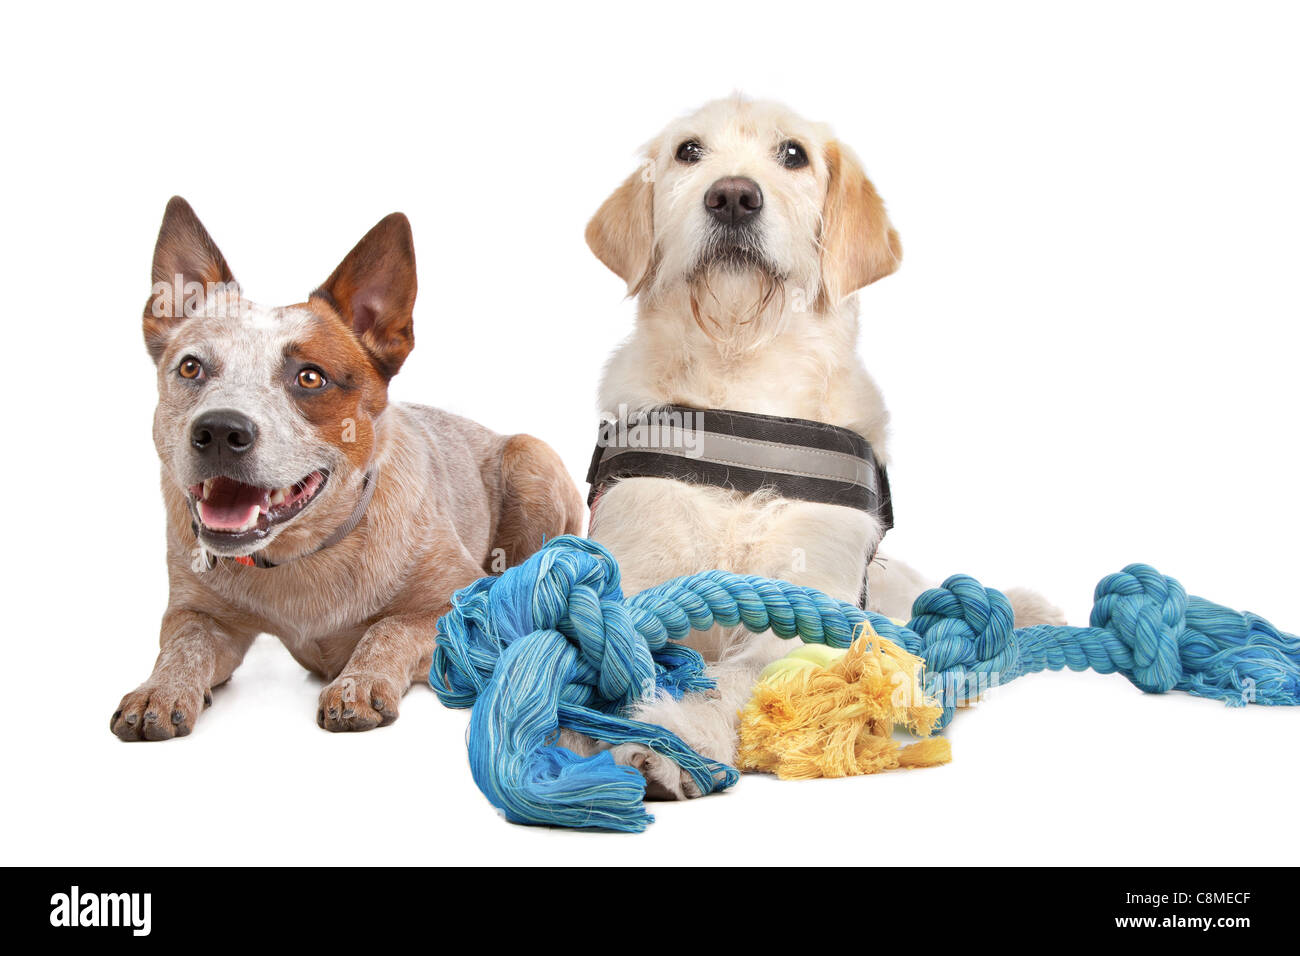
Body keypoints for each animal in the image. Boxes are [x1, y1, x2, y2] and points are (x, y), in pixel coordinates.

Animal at [116, 200, 585, 738]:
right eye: (191, 367)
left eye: (310, 377)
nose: (218, 430)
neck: (301, 558)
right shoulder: (194, 610)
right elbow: (183, 644)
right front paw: (159, 688)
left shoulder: (461, 604)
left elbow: (389, 627)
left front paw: (358, 682)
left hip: (532, 456)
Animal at [585, 97, 1060, 801]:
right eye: (688, 151)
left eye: (793, 155)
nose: (733, 196)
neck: (744, 383)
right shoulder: (636, 569)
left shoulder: (803, 605)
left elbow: (740, 678)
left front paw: (677, 738)